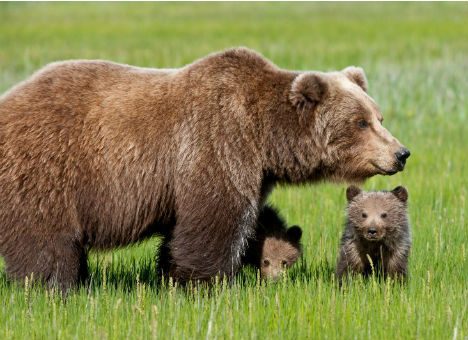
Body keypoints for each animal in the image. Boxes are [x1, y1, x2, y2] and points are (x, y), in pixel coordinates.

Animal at [0, 47, 410, 286]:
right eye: (360, 122)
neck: (264, 136)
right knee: (45, 238)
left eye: (379, 117)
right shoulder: (216, 142)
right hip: (47, 168)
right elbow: (214, 219)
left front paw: (169, 274)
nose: (401, 153)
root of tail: (9, 99)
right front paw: (202, 282)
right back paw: (54, 285)